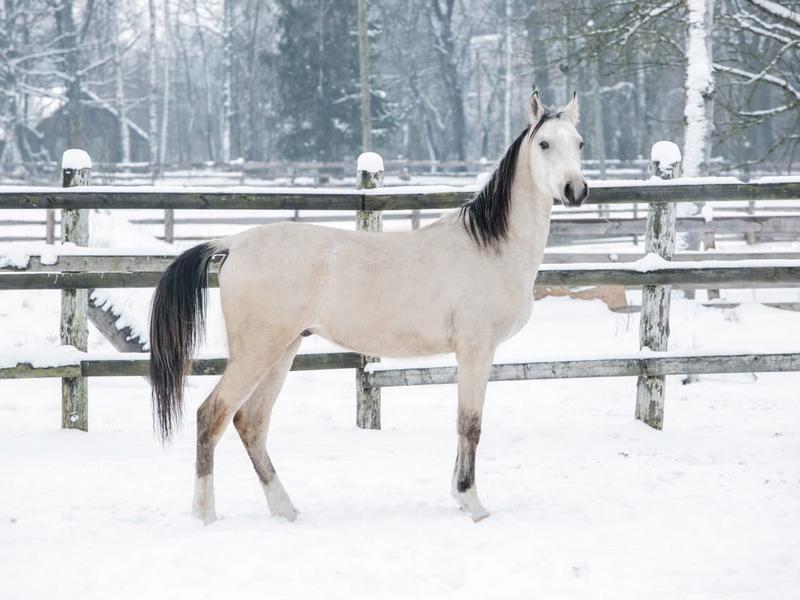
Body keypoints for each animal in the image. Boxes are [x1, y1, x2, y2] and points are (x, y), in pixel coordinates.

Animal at [150, 91, 588, 524]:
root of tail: (234, 243)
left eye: (580, 144)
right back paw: (205, 515)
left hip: (283, 350)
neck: (490, 246)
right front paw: (472, 503)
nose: (576, 190)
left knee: (251, 423)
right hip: (257, 352)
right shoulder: (475, 350)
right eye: (544, 144)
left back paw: (285, 510)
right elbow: (470, 425)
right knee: (212, 415)